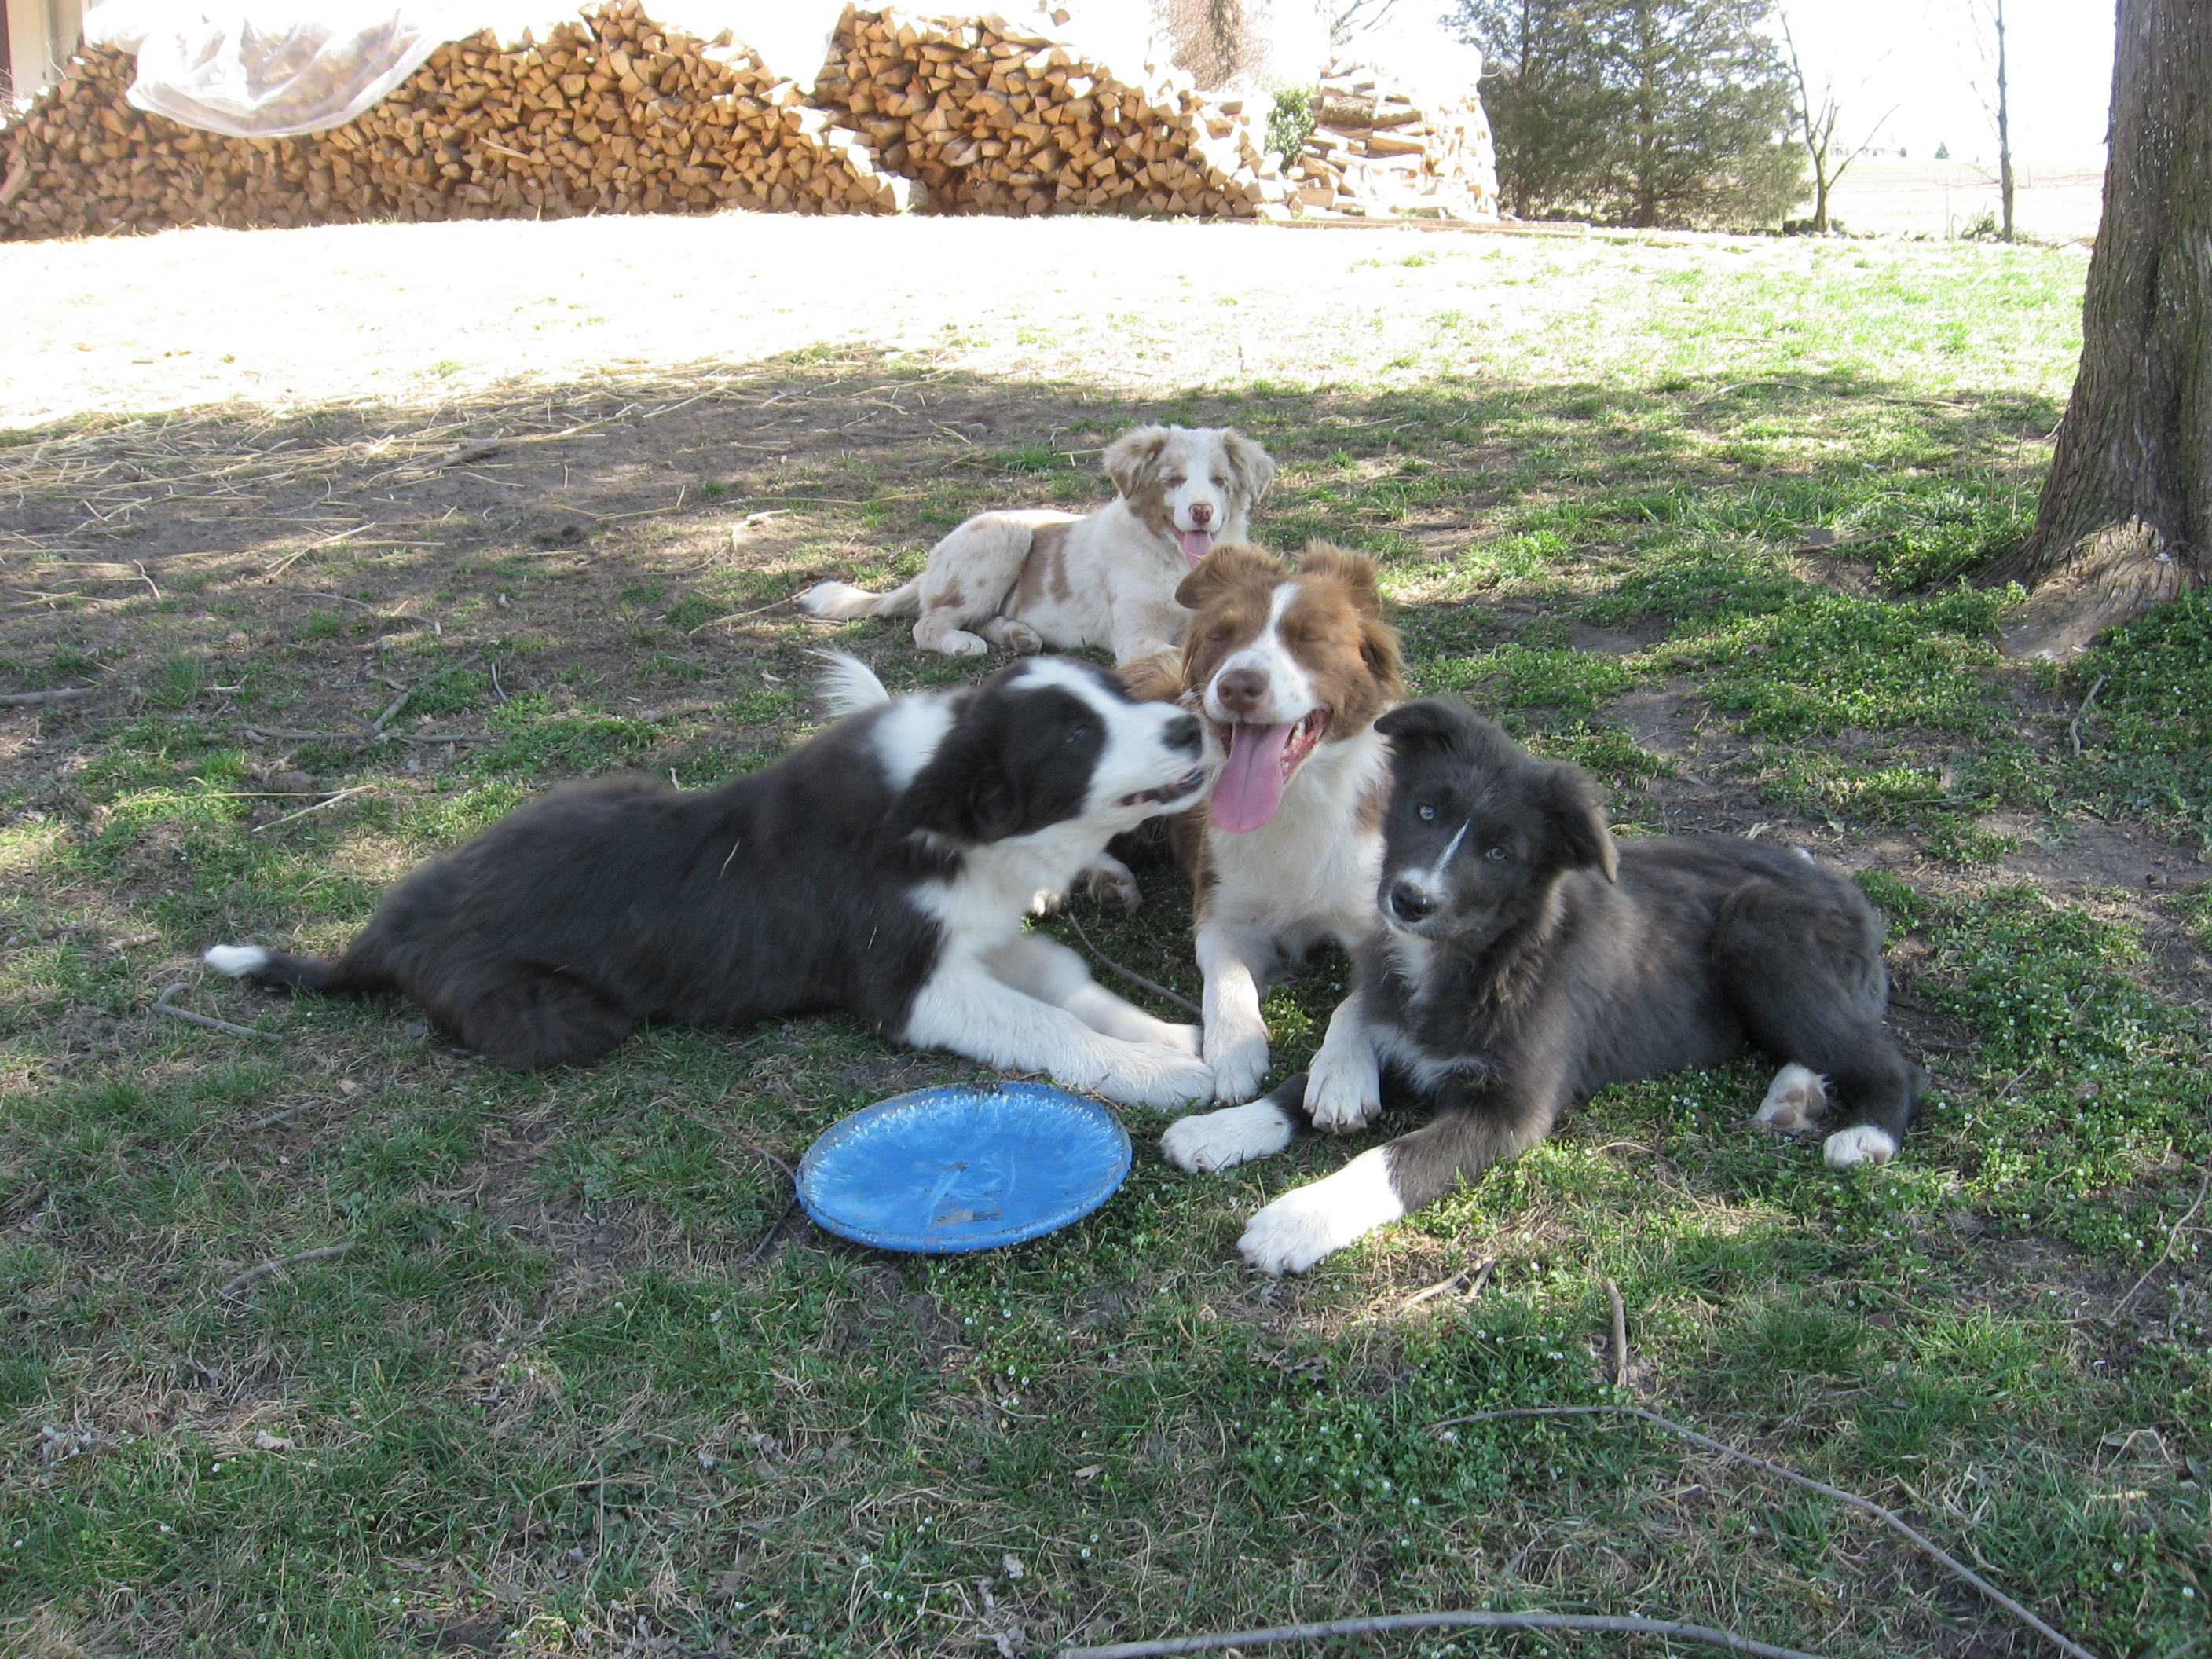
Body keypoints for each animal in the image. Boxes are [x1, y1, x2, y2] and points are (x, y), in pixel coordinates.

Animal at [203, 654, 1229, 1110]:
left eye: (1111, 694)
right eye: (1075, 736)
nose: (1190, 726)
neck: (945, 817)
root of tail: (386, 930)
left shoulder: (971, 933)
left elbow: (1065, 980)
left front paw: (1173, 1036)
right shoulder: (903, 986)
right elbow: (1040, 1023)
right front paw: (1163, 1073)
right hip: (566, 1016)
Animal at [805, 422, 1274, 681]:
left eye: (1219, 481)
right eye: (1172, 480)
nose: (1201, 511)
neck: (1175, 561)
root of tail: (935, 559)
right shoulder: (1136, 635)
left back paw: (1019, 635)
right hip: (1003, 538)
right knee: (929, 622)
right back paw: (963, 643)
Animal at [1159, 548, 1397, 1119]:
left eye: (1309, 637)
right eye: (1221, 635)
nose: (1238, 686)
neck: (1293, 803)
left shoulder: (1376, 923)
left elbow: (1357, 1002)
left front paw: (1342, 1073)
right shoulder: (1221, 909)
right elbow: (1225, 975)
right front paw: (1233, 1048)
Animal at [1177, 698, 1920, 1274]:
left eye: (1500, 853)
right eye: (1425, 811)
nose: (1410, 901)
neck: (1475, 960)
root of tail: (1847, 890)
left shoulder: (1510, 1109)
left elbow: (1392, 1161)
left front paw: (1295, 1221)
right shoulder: (1397, 1031)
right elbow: (1295, 1088)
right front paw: (1221, 1130)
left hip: (1759, 930)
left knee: (1886, 1058)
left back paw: (1864, 1134)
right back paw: (1795, 1096)